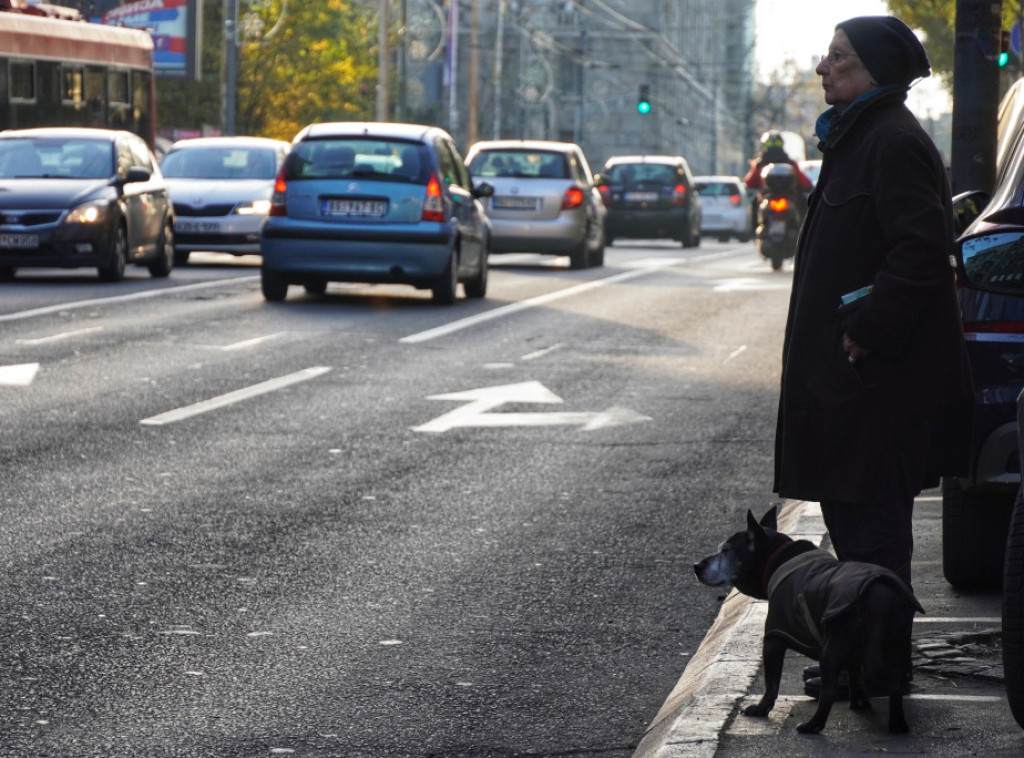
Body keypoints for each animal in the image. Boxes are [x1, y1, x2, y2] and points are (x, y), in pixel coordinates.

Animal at [692, 506, 925, 729]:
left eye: (725, 551)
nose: (696, 566)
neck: (776, 558)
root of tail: (879, 591)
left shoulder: (774, 637)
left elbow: (771, 684)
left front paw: (761, 708)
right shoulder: (854, 652)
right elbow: (854, 673)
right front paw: (859, 701)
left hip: (833, 648)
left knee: (828, 691)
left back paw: (813, 725)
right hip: (896, 643)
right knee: (895, 683)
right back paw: (897, 723)